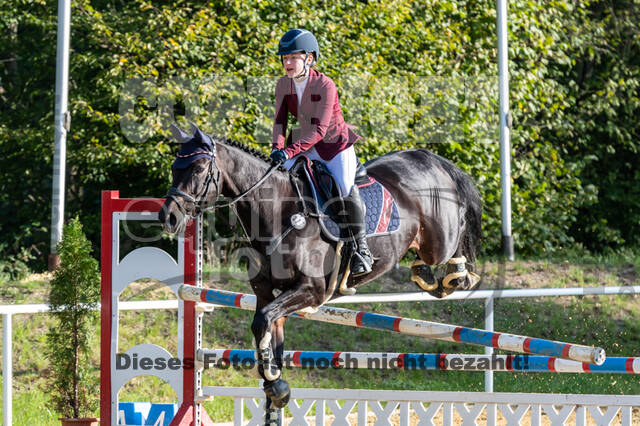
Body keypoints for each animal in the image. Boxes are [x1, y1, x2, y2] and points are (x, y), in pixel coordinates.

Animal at [159, 125, 480, 424]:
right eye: (174, 168)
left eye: (199, 168)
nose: (168, 218)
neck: (277, 212)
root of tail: (429, 158)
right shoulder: (267, 293)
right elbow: (266, 330)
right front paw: (276, 390)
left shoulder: (311, 290)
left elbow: (262, 321)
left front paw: (274, 385)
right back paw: (425, 274)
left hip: (438, 241)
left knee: (453, 245)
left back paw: (455, 275)